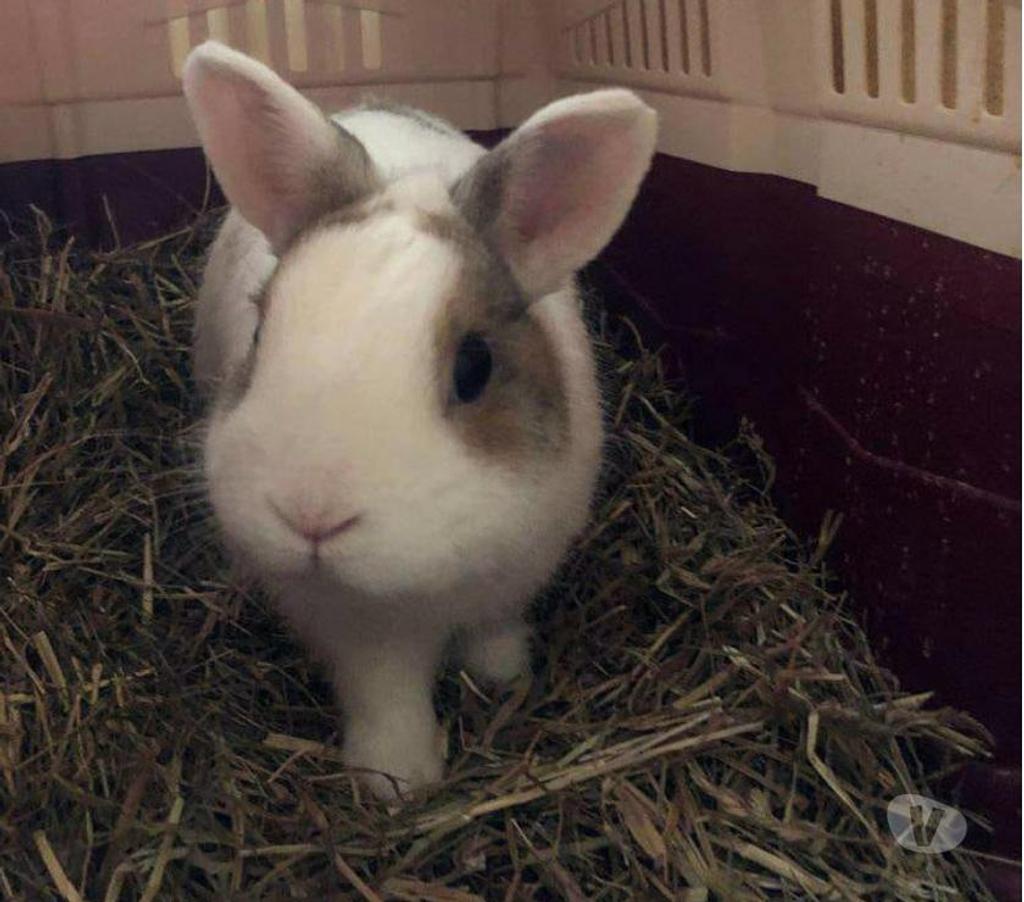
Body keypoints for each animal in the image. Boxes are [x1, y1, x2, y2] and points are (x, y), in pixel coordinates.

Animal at [182, 40, 657, 798]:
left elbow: (494, 632)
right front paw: (398, 781)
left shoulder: (517, 574)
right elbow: (389, 696)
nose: (311, 516)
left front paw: (504, 677)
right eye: (260, 331)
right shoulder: (362, 634)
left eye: (474, 367)